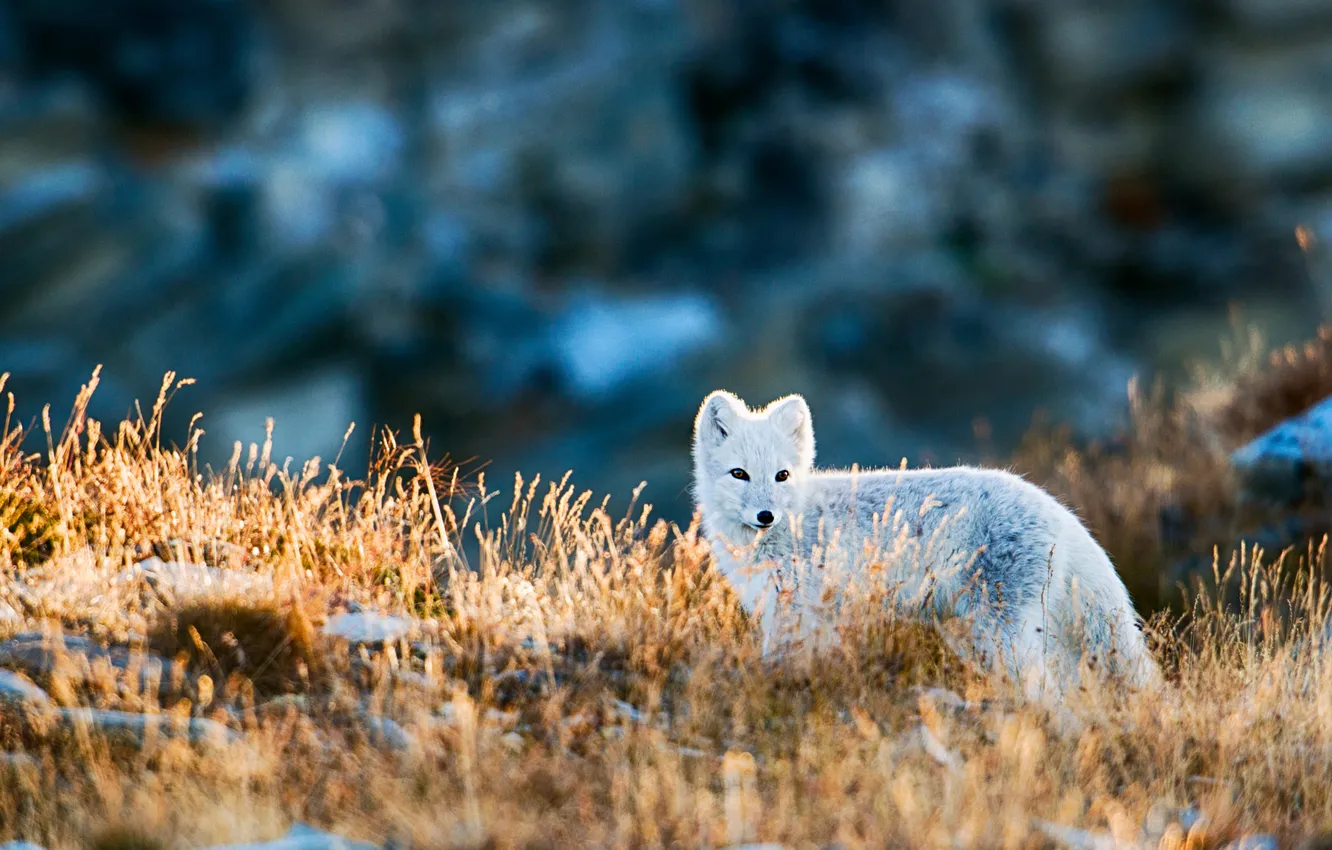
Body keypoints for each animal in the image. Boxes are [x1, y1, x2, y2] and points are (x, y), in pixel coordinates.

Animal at [691, 389, 1159, 702]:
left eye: (782, 476)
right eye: (739, 474)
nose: (766, 516)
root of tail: (1056, 508)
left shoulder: (795, 612)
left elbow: (781, 664)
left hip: (998, 634)